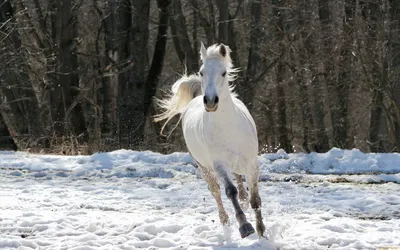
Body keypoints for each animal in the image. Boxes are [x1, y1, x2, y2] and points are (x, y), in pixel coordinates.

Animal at [155, 42, 264, 238]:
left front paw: (261, 231)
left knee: (239, 180)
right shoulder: (218, 165)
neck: (228, 127)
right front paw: (245, 226)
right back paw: (225, 220)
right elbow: (229, 191)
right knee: (215, 191)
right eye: (201, 72)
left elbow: (255, 199)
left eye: (224, 72)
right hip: (204, 167)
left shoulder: (252, 163)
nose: (211, 101)